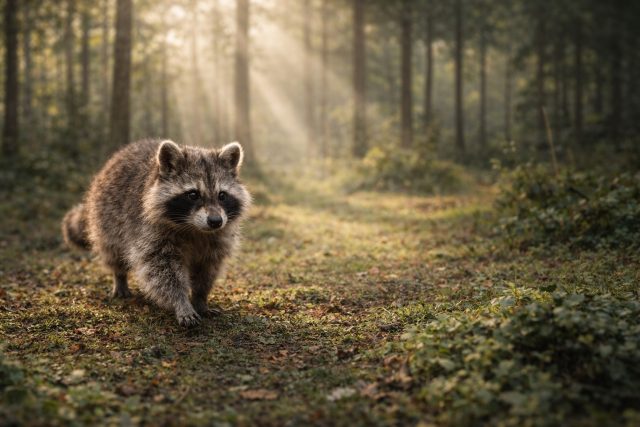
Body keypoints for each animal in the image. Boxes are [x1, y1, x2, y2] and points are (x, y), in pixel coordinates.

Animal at [62, 139, 251, 326]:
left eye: (222, 195)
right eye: (193, 194)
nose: (215, 221)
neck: (195, 229)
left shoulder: (217, 240)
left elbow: (207, 269)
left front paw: (200, 299)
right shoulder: (150, 231)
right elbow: (163, 270)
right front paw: (181, 302)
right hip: (107, 219)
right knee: (113, 251)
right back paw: (119, 277)